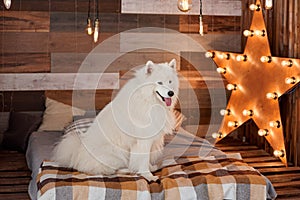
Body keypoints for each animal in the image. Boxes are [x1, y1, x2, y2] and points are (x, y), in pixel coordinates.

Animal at [51, 58, 179, 182]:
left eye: (170, 82)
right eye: (159, 82)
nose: (171, 93)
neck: (147, 99)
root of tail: (77, 153)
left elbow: (145, 159)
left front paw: (150, 168)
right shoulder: (143, 140)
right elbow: (143, 159)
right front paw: (148, 175)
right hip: (116, 153)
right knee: (109, 170)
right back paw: (127, 170)